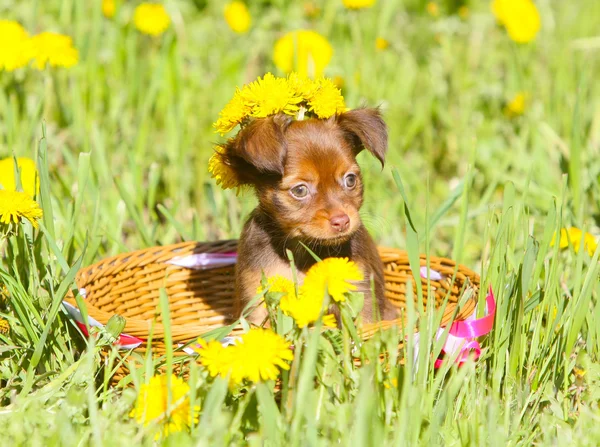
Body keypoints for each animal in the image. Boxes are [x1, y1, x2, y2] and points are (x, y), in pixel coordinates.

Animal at [220, 108, 398, 326]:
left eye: (350, 180)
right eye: (300, 190)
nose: (342, 221)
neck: (304, 249)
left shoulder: (361, 296)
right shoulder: (256, 301)